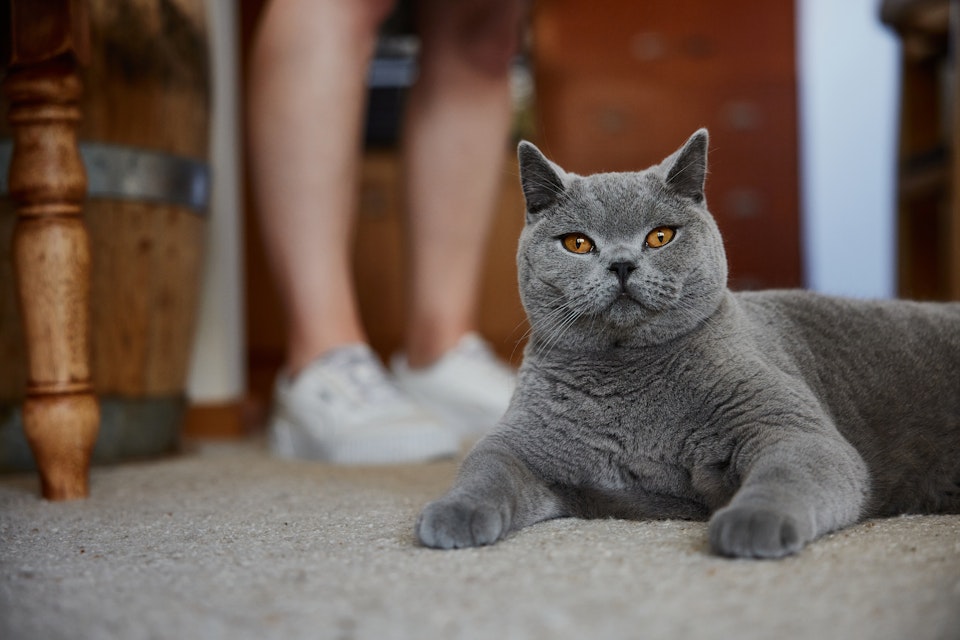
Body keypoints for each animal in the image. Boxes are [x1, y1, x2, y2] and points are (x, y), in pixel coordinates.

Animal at [414, 130, 960, 560]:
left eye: (660, 237)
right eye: (578, 244)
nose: (622, 263)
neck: (627, 381)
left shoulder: (789, 427)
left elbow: (784, 473)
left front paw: (751, 523)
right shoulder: (521, 441)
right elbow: (483, 469)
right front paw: (451, 512)